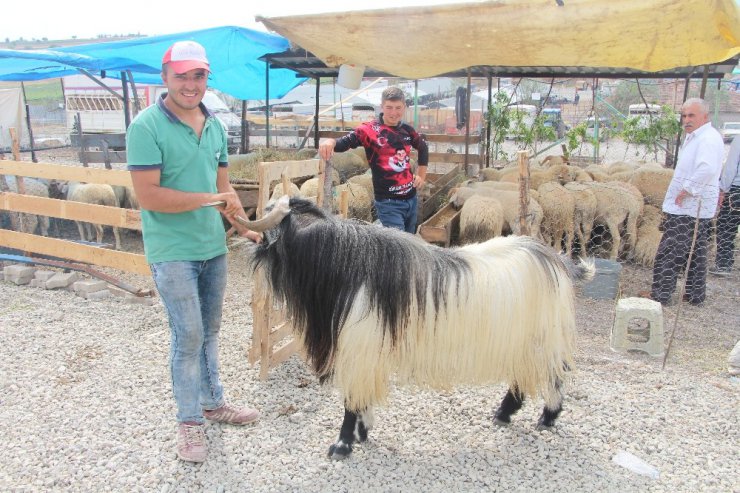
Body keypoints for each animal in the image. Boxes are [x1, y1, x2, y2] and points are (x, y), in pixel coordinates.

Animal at [246, 195, 592, 458]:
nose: (251, 246)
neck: (343, 265)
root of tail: (557, 261)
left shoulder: (358, 348)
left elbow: (351, 401)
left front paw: (342, 445)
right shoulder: (369, 352)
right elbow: (364, 397)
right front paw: (363, 433)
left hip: (543, 339)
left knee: (555, 375)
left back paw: (547, 418)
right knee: (522, 378)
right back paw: (503, 414)